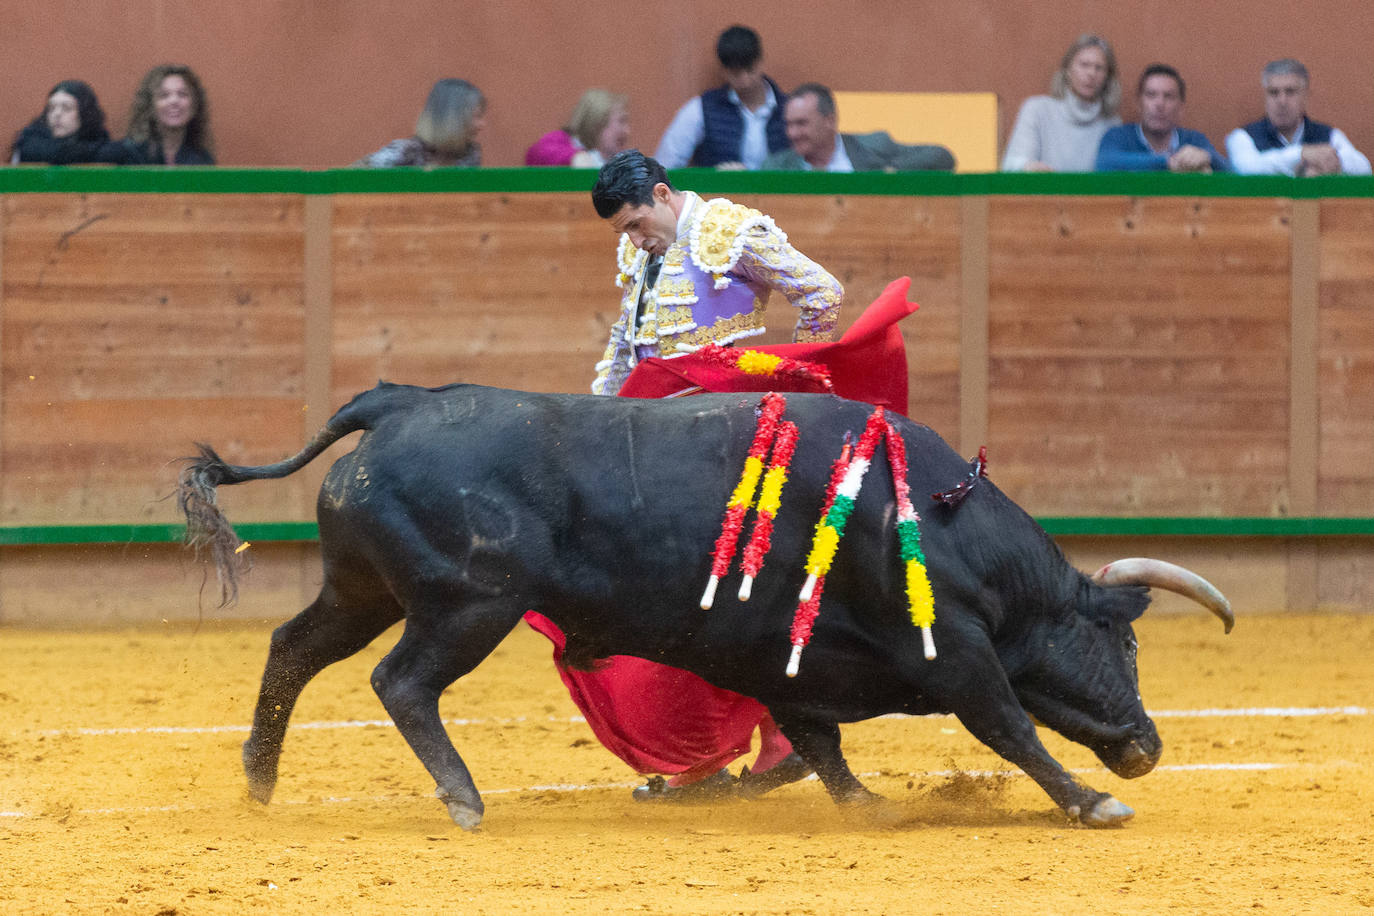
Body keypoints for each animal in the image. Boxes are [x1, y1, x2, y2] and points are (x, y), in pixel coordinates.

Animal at [174, 379, 1236, 829]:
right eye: (1124, 648)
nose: (1148, 746)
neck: (938, 516)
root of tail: (394, 403)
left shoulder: (784, 664)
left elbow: (814, 745)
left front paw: (863, 806)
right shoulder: (957, 653)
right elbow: (1009, 725)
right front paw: (1093, 801)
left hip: (361, 590)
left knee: (292, 648)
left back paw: (259, 780)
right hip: (467, 606)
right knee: (401, 684)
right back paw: (463, 798)